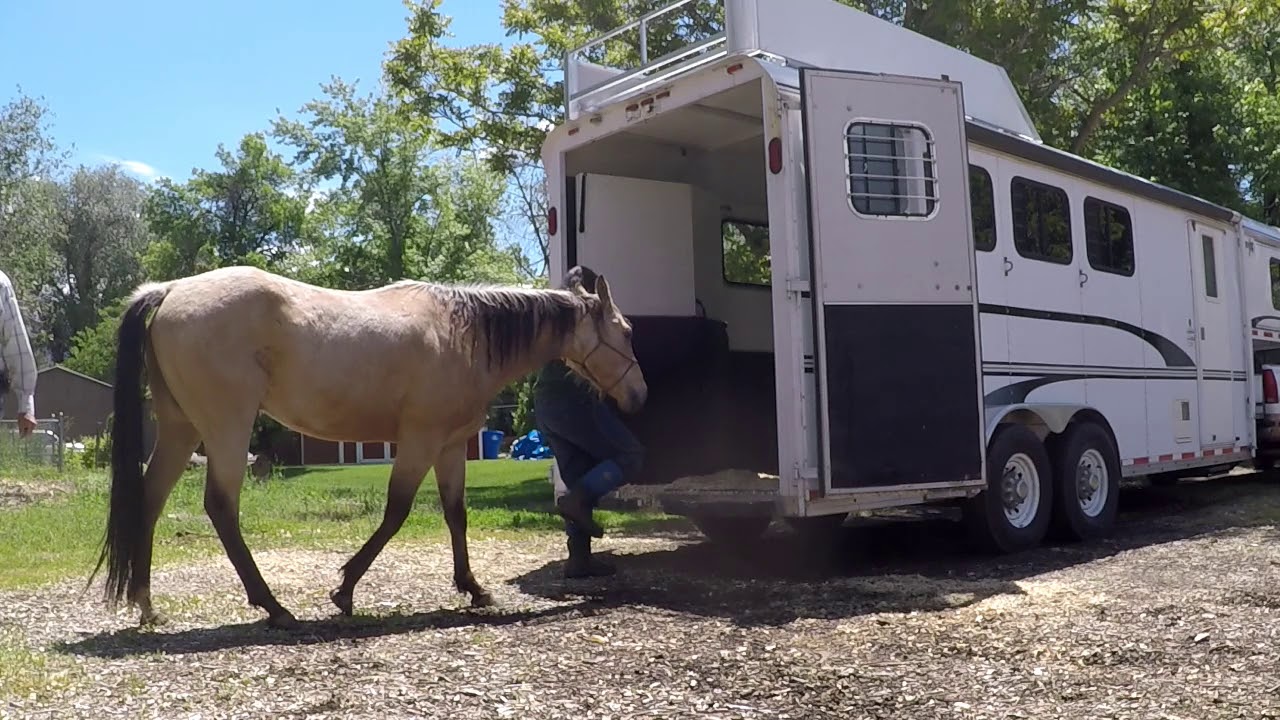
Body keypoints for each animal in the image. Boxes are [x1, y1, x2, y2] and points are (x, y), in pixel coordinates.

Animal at [87, 264, 647, 629]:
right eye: (624, 330)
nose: (639, 396)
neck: (461, 332)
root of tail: (169, 290)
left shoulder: (449, 446)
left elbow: (456, 514)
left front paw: (472, 587)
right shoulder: (420, 441)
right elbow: (396, 511)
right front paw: (344, 589)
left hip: (181, 429)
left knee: (149, 501)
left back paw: (146, 604)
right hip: (227, 428)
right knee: (221, 508)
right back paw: (274, 607)